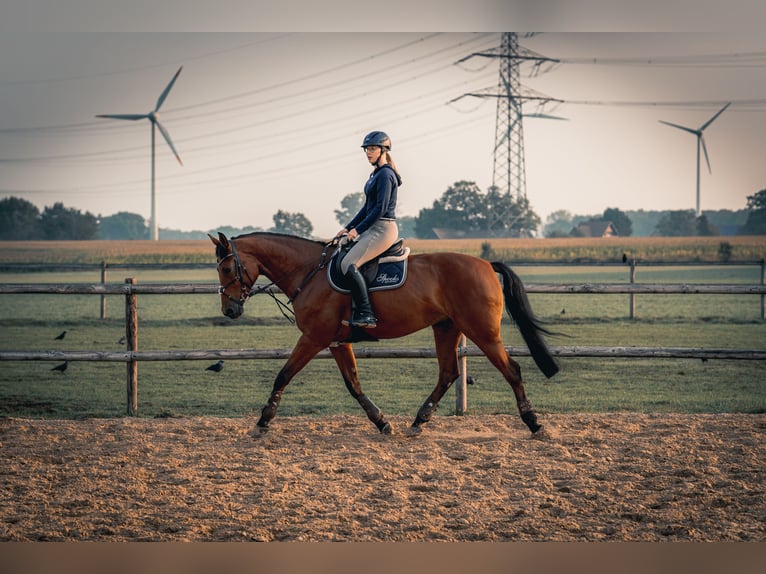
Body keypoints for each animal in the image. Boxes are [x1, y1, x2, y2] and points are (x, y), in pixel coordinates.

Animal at [209, 231, 559, 436]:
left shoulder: (313, 338)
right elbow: (353, 384)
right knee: (448, 373)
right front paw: (381, 421)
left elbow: (283, 375)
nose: (229, 310)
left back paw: (534, 423)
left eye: (226, 269)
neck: (310, 272)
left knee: (511, 370)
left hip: (482, 332)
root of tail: (485, 263)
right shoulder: (336, 341)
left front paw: (262, 422)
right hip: (447, 328)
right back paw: (418, 421)